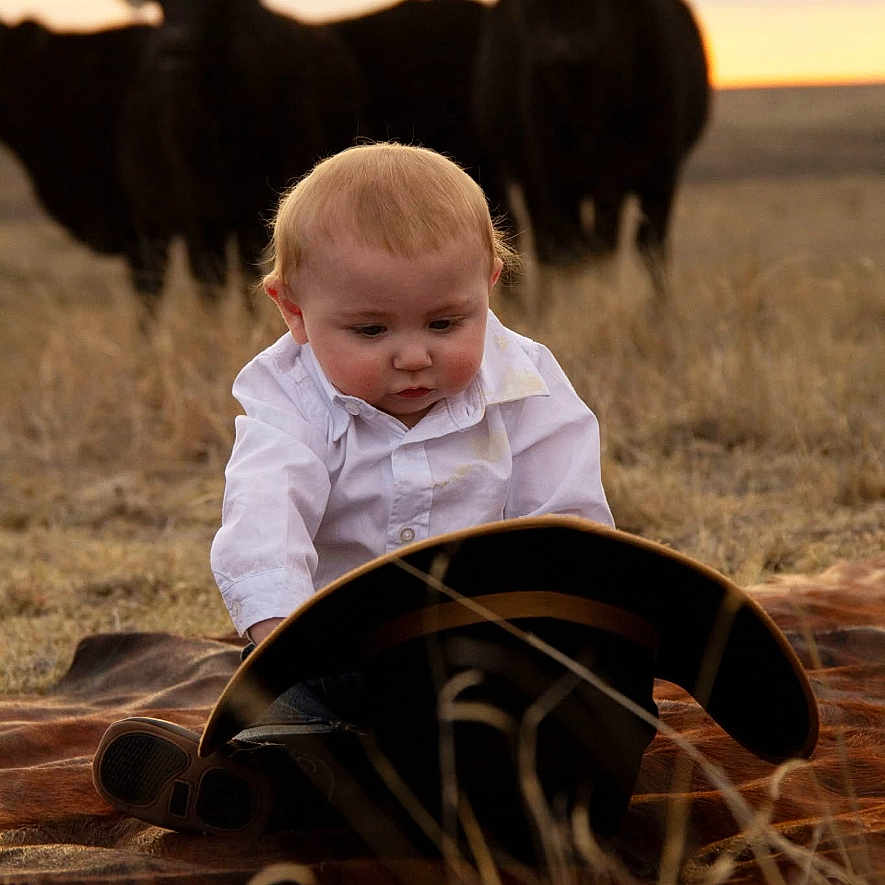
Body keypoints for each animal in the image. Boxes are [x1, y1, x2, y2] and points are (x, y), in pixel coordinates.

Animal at [473, 0, 711, 292]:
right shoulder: (556, 179)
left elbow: (635, 246)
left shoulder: (650, 176)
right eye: (529, 8)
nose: (556, 46)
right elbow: (575, 248)